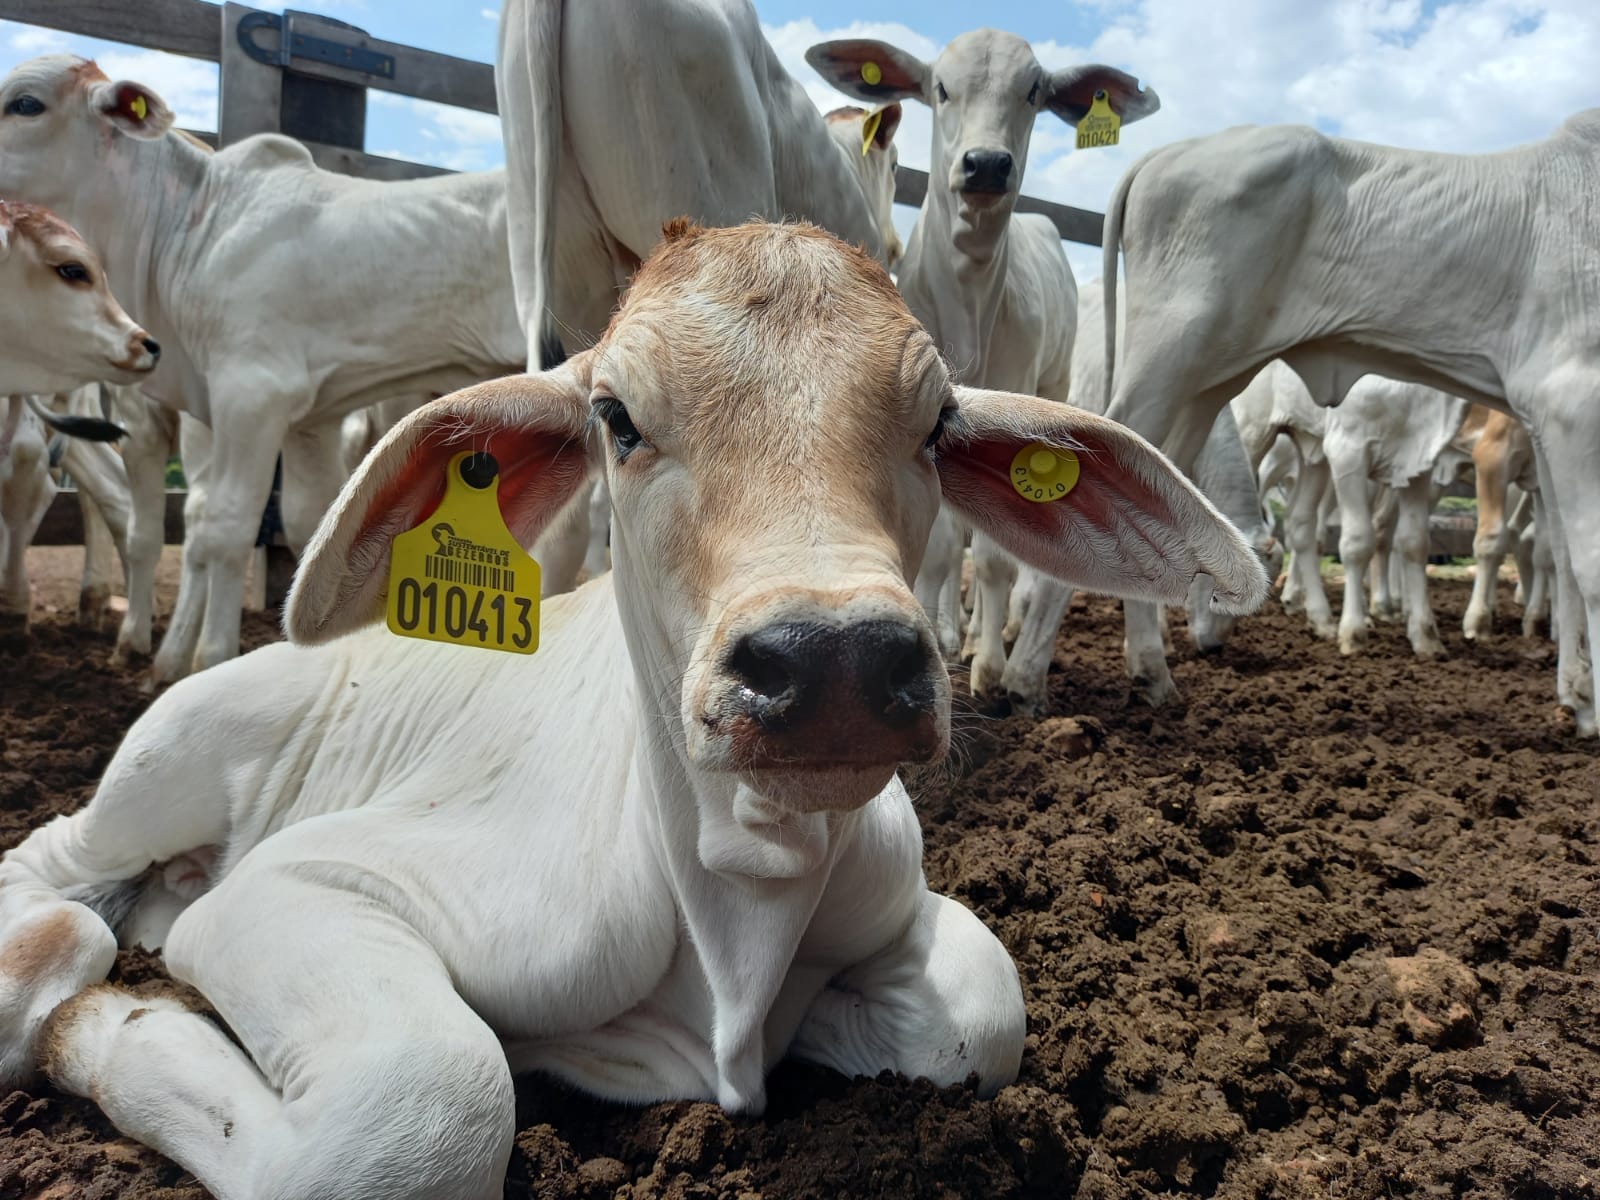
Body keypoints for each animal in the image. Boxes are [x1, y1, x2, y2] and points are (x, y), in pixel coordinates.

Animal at [0, 56, 524, 681]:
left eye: (25, 104)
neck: (189, 228)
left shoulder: (251, 394)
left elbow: (225, 529)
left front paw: (206, 662)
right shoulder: (310, 419)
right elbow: (312, 526)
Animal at [0, 220, 1267, 1196]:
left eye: (936, 427)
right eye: (616, 417)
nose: (835, 663)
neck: (737, 896)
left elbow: (981, 1010)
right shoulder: (307, 885)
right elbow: (430, 1106)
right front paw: (109, 1023)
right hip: (177, 748)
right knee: (59, 873)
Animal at [1107, 112, 1600, 732]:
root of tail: (1168, 151)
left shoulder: (1530, 432)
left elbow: (1552, 553)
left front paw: (1580, 698)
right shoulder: (1571, 400)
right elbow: (1585, 560)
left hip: (1207, 382)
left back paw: (1154, 667)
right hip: (1177, 364)